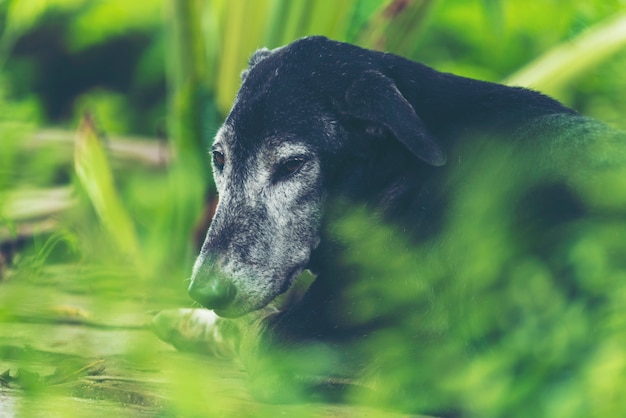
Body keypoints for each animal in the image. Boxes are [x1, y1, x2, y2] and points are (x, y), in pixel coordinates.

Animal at [152, 37, 624, 416]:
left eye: (291, 165)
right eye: (219, 158)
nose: (206, 291)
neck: (395, 171)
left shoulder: (294, 333)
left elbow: (249, 332)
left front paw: (189, 324)